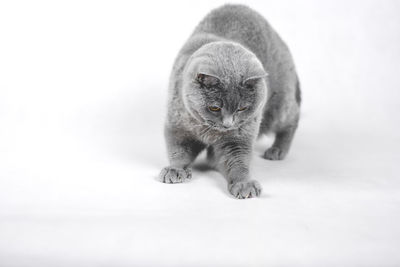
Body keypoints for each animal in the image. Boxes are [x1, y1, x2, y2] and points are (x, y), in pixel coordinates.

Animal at [157, 3, 300, 199]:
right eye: (215, 108)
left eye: (242, 108)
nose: (227, 124)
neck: (208, 131)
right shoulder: (178, 126)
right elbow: (179, 151)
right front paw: (174, 170)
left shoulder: (238, 138)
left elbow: (238, 161)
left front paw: (244, 184)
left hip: (277, 105)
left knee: (292, 116)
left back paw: (277, 150)